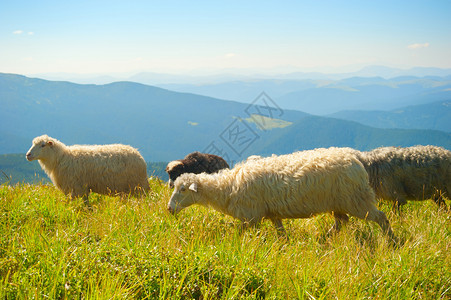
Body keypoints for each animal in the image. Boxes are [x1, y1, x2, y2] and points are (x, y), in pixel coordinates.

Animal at [168, 148, 398, 241]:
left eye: (182, 190)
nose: (169, 209)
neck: (227, 187)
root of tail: (357, 161)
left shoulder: (251, 217)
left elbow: (239, 233)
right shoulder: (271, 214)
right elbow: (281, 233)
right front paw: (283, 245)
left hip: (357, 200)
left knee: (381, 218)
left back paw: (392, 241)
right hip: (340, 202)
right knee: (342, 221)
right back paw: (324, 238)